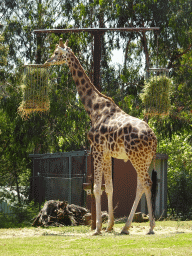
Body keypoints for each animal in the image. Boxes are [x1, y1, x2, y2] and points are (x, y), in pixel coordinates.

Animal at [45, 38, 158, 236]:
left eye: (57, 53)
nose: (47, 61)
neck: (93, 108)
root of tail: (153, 138)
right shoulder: (107, 153)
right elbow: (110, 188)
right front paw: (109, 225)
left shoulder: (96, 149)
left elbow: (97, 188)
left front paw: (97, 228)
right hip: (146, 158)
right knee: (143, 184)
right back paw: (132, 226)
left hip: (136, 157)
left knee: (145, 183)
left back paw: (144, 226)